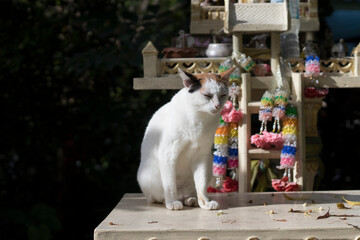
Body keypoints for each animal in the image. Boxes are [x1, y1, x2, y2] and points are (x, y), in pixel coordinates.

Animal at [136, 67, 235, 210]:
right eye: (207, 96)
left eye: (223, 95)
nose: (217, 106)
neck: (199, 118)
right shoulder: (168, 154)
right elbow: (170, 185)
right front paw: (172, 203)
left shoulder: (201, 156)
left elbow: (201, 185)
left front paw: (205, 203)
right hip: (148, 175)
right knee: (160, 196)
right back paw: (171, 201)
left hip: (208, 163)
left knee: (190, 192)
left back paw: (190, 200)